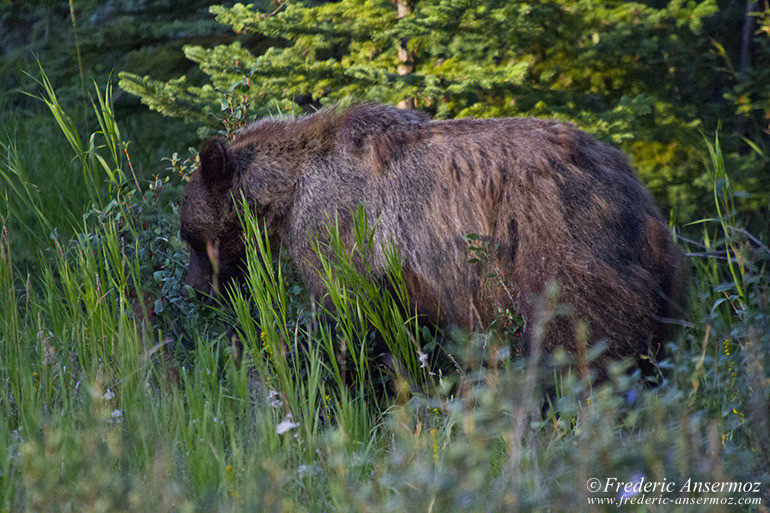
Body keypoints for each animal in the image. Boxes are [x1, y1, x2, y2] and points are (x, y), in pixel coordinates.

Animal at [180, 101, 684, 372]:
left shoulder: (336, 227)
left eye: (191, 237)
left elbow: (346, 315)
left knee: (582, 329)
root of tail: (625, 177)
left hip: (558, 241)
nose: (196, 289)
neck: (288, 190)